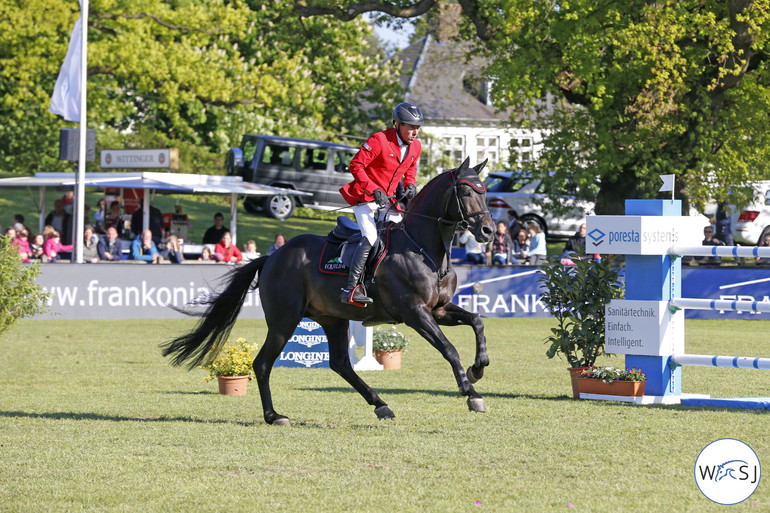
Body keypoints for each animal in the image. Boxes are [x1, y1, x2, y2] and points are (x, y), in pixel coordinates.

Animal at [164, 158, 498, 426]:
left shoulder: (438, 310)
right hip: (284, 320)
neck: (424, 248)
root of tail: (272, 257)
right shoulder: (415, 313)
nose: (488, 232)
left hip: (332, 318)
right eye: (466, 192)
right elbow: (449, 349)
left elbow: (477, 321)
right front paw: (470, 392)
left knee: (339, 363)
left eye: (484, 191)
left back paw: (381, 405)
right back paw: (274, 416)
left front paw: (478, 369)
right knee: (262, 364)